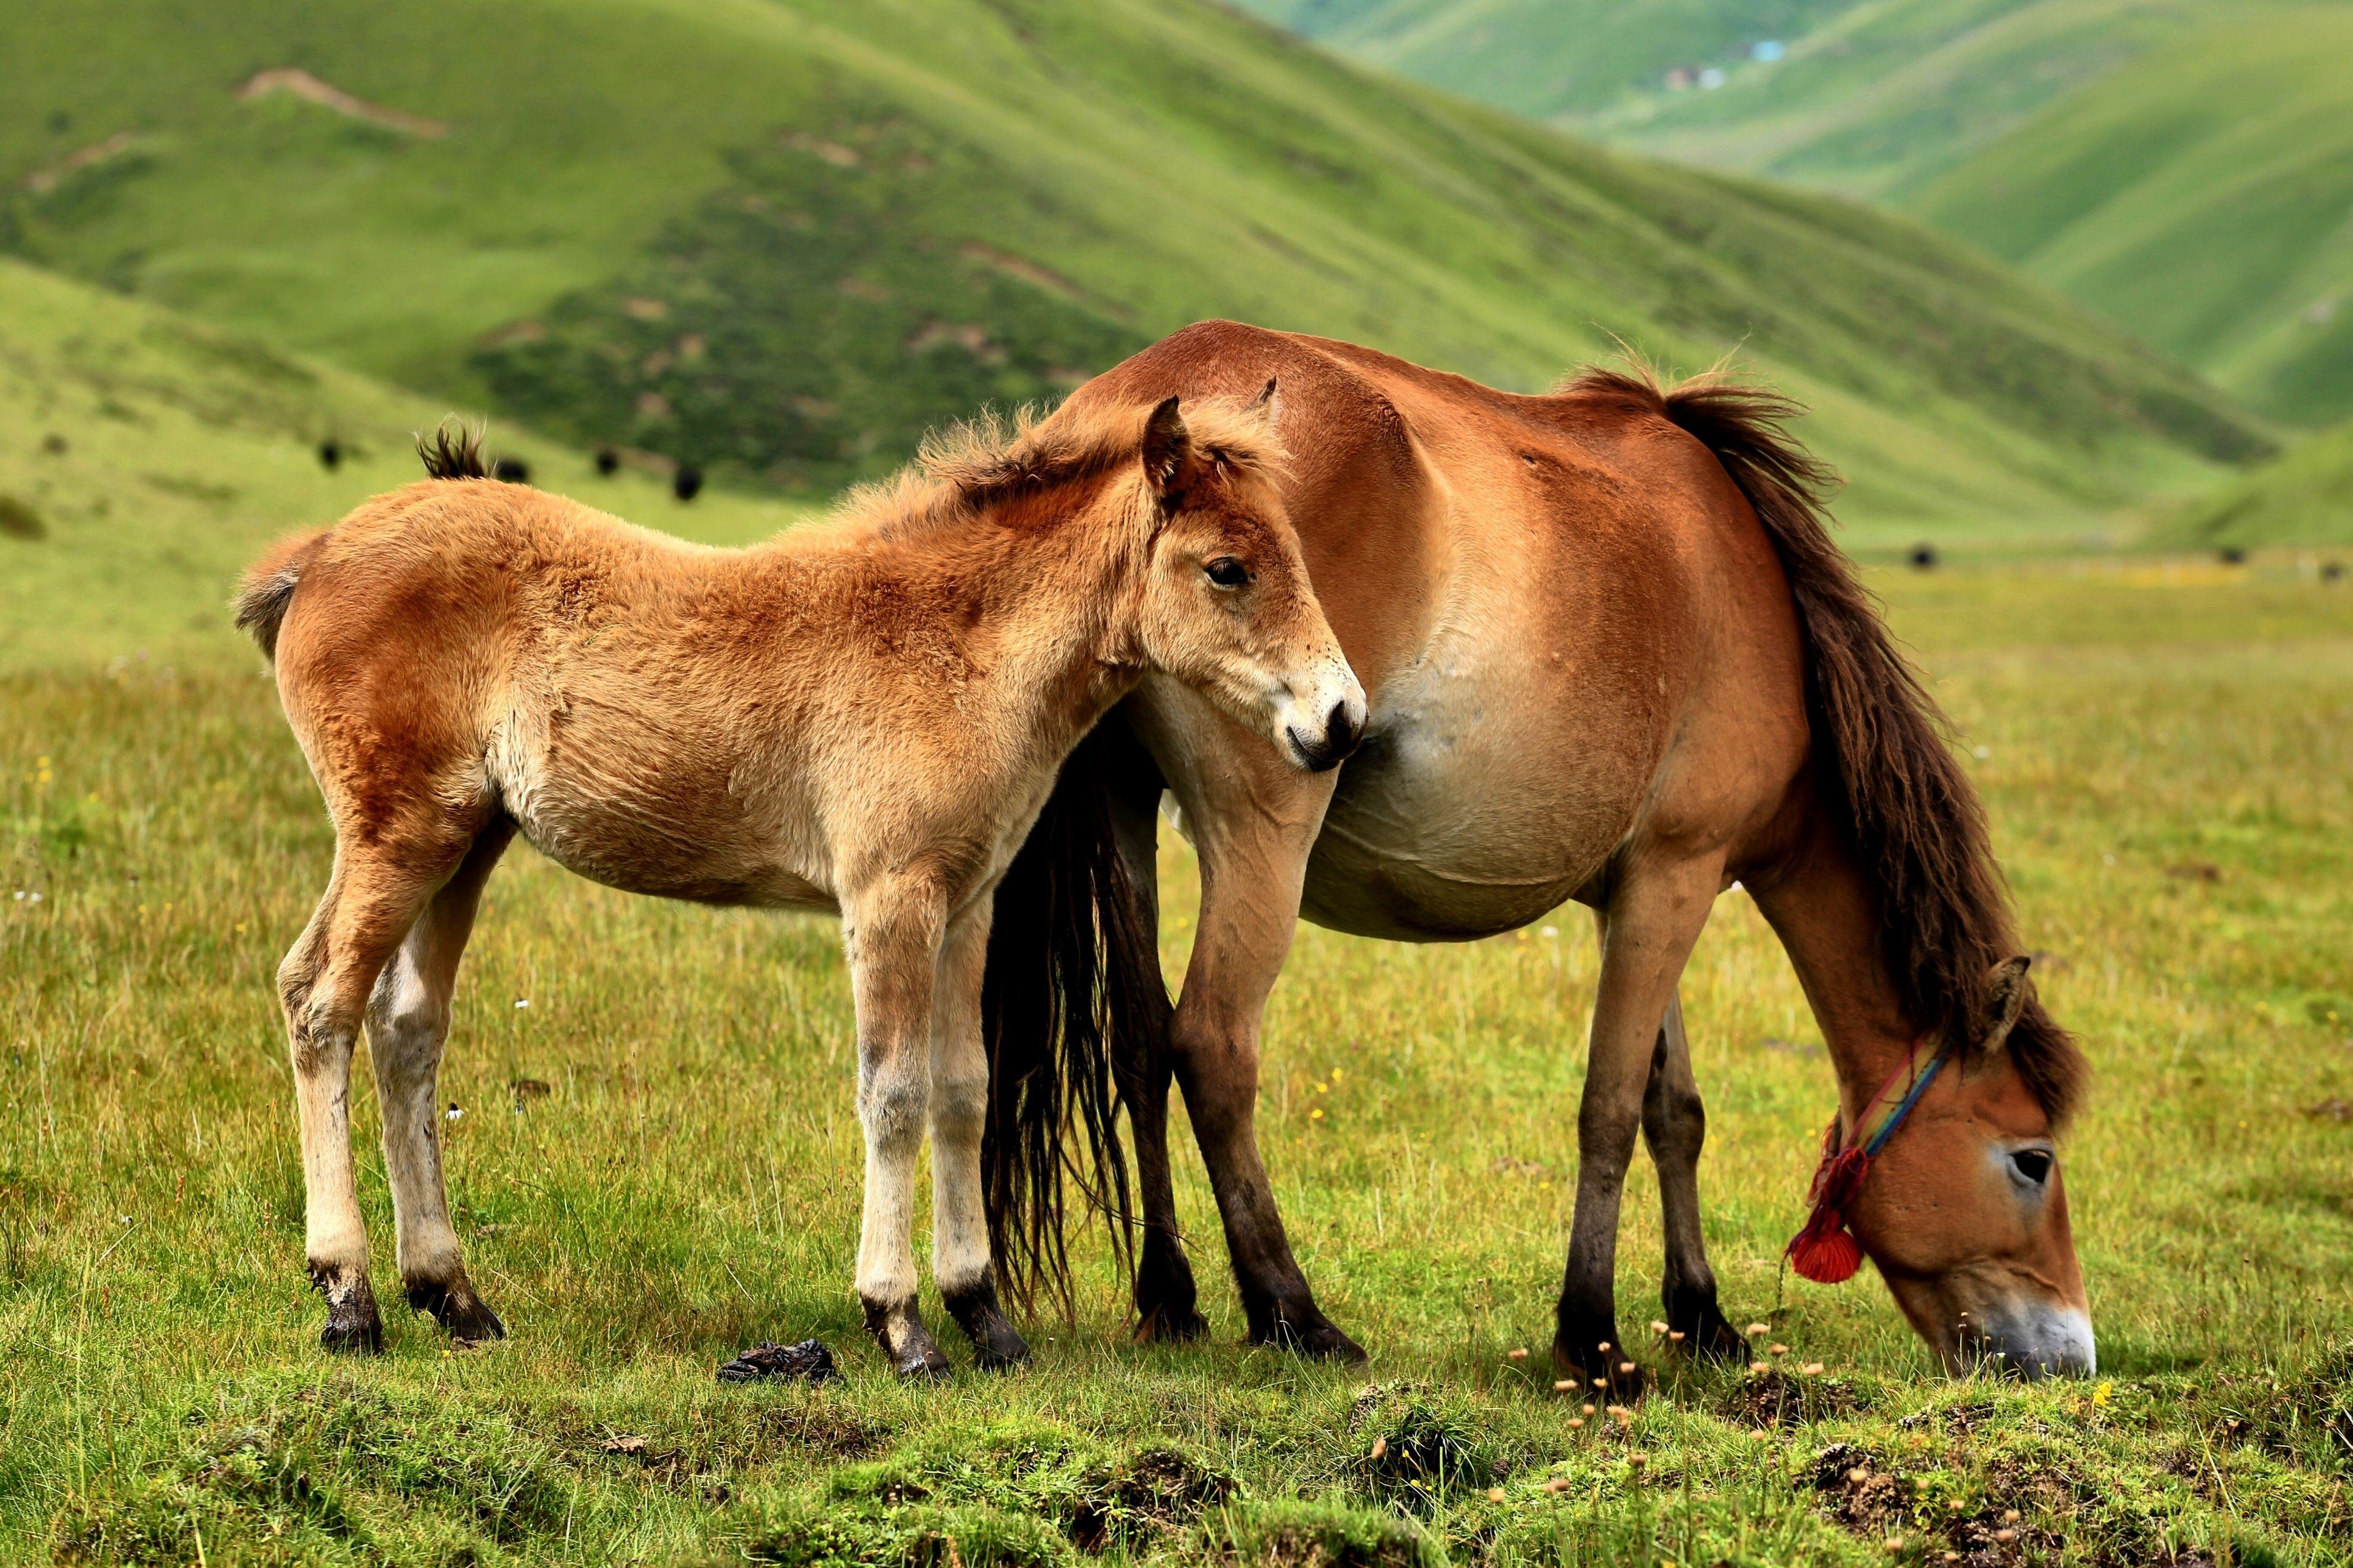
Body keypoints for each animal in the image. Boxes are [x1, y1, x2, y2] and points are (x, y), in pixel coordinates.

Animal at [234, 392, 1364, 1373]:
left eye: (1298, 555)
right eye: (1227, 568)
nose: (1342, 718)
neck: (955, 647)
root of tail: (318, 553)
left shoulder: (968, 903)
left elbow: (964, 1090)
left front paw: (988, 1317)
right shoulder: (890, 896)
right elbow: (894, 1091)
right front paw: (903, 1325)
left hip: (468, 839)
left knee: (408, 1028)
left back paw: (455, 1297)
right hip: (398, 832)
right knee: (318, 998)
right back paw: (351, 1298)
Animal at [983, 324, 2089, 1391]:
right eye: (2031, 1158)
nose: (2072, 1356)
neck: (1755, 603)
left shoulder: (1637, 888)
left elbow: (1674, 1109)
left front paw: (1702, 1315)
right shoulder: (1679, 875)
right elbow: (1610, 1108)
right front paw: (1593, 1338)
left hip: (1125, 812)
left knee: (1137, 1041)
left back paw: (1170, 1297)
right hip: (1264, 831)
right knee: (1211, 1043)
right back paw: (1292, 1312)